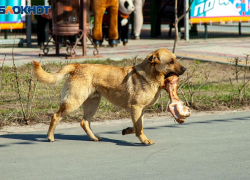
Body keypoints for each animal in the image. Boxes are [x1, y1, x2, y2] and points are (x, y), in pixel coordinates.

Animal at [32, 48, 186, 146]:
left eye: (175, 59)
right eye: (171, 62)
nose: (185, 69)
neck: (150, 75)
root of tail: (77, 66)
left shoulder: (139, 111)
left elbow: (137, 126)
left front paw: (128, 131)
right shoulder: (135, 108)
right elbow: (140, 127)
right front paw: (144, 140)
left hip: (92, 104)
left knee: (84, 122)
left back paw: (94, 138)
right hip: (73, 103)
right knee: (55, 116)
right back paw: (50, 137)